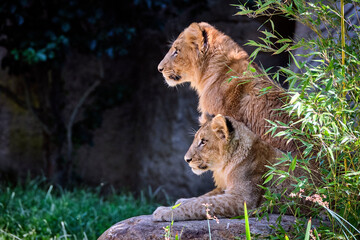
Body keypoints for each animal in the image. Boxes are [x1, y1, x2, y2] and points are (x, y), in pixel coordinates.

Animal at [152, 114, 300, 221]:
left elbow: (199, 204)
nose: (186, 159)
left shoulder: (243, 200)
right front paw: (179, 201)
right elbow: (201, 198)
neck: (225, 167)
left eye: (203, 141)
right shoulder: (224, 188)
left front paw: (164, 211)